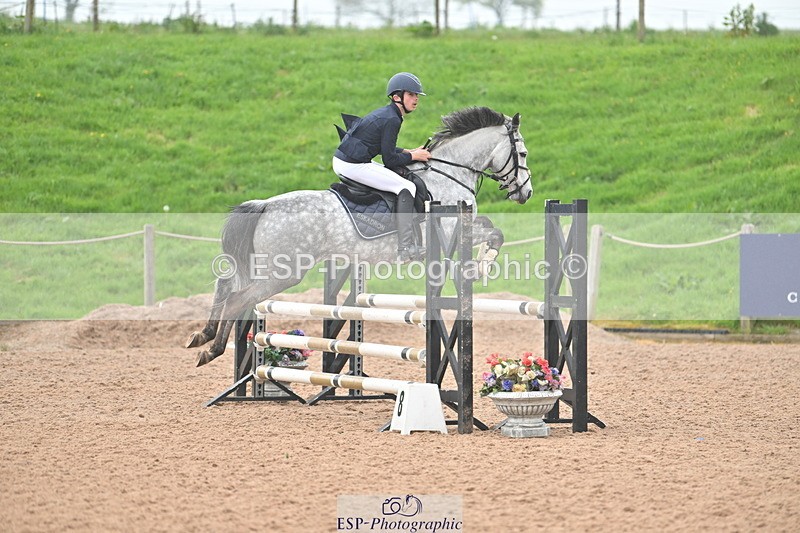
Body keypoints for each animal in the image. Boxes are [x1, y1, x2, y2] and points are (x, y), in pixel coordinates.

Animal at [188, 106, 533, 367]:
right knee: (238, 298)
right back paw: (212, 349)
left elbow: (491, 228)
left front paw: (480, 264)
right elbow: (496, 233)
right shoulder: (452, 231)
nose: (526, 193)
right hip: (283, 272)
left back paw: (203, 335)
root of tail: (264, 206)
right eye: (523, 153)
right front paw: (481, 266)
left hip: (263, 266)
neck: (448, 174)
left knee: (225, 284)